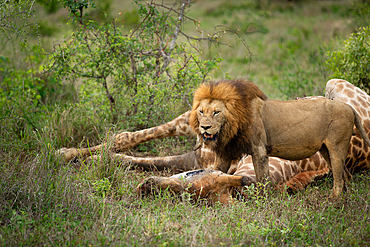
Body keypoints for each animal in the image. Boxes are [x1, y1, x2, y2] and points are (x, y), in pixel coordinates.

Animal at [189, 78, 370, 198]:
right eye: (201, 111)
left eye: (216, 112)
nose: (205, 127)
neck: (232, 123)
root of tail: (349, 108)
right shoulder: (227, 152)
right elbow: (216, 170)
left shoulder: (259, 149)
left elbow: (262, 177)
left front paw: (263, 200)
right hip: (325, 149)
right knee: (345, 175)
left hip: (336, 146)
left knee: (339, 176)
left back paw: (334, 200)